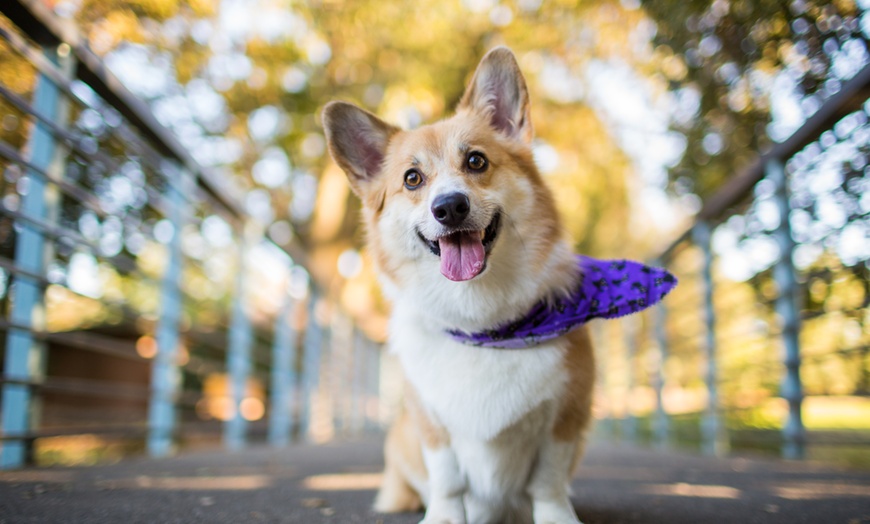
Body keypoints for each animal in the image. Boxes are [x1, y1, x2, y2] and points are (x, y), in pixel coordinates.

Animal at [324, 46, 596, 524]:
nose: (450, 207)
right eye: (412, 179)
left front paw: (556, 517)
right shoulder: (429, 420)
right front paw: (445, 516)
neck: (480, 323)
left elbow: (548, 482)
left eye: (476, 161)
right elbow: (447, 478)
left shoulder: (565, 416)